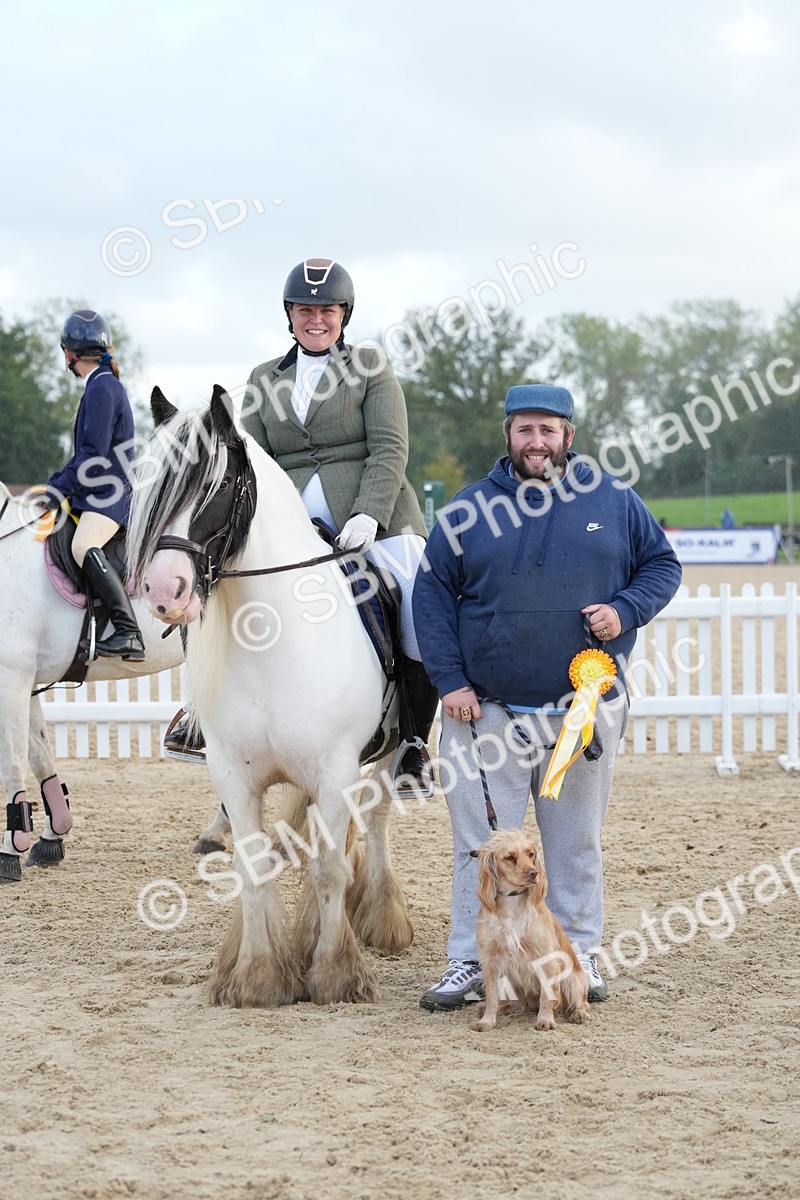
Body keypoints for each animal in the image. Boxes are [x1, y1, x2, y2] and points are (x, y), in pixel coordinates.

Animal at [0, 483, 185, 883]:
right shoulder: (26, 682)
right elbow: (40, 756)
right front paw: (52, 837)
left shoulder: (10, 680)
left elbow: (13, 761)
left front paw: (9, 852)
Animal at [124, 385, 414, 1008]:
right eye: (150, 491)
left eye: (217, 487)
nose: (163, 591)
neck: (270, 636)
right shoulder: (232, 773)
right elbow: (255, 866)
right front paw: (257, 977)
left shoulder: (336, 767)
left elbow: (329, 868)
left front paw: (333, 975)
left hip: (389, 755)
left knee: (374, 824)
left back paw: (383, 923)